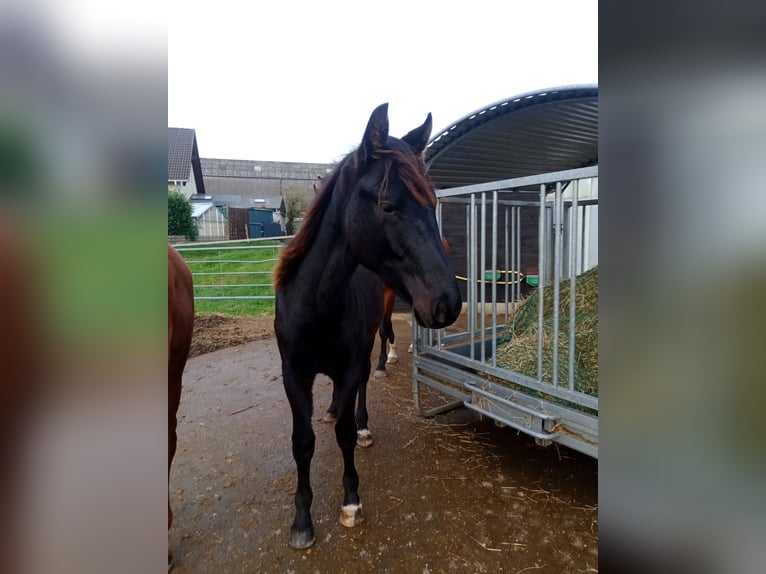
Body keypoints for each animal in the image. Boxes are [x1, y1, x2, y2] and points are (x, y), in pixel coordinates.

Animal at [272, 106, 460, 552]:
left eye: (432, 203)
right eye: (388, 206)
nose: (448, 302)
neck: (316, 303)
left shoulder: (349, 365)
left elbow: (342, 434)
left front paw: (351, 502)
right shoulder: (294, 375)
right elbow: (302, 442)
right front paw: (301, 521)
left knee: (364, 380)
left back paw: (362, 424)